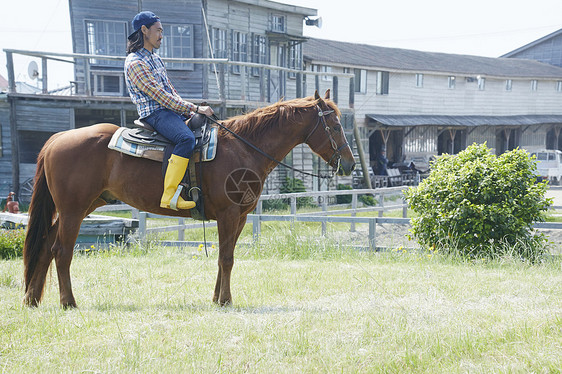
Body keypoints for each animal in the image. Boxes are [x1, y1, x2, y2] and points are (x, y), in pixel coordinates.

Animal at [23, 90, 354, 306]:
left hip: (80, 207)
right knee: (62, 251)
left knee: (45, 246)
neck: (244, 147)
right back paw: (68, 302)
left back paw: (32, 299)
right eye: (336, 125)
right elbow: (227, 257)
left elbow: (225, 257)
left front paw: (217, 297)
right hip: (73, 210)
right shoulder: (228, 214)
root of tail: (57, 139)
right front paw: (226, 300)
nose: (349, 164)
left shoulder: (240, 217)